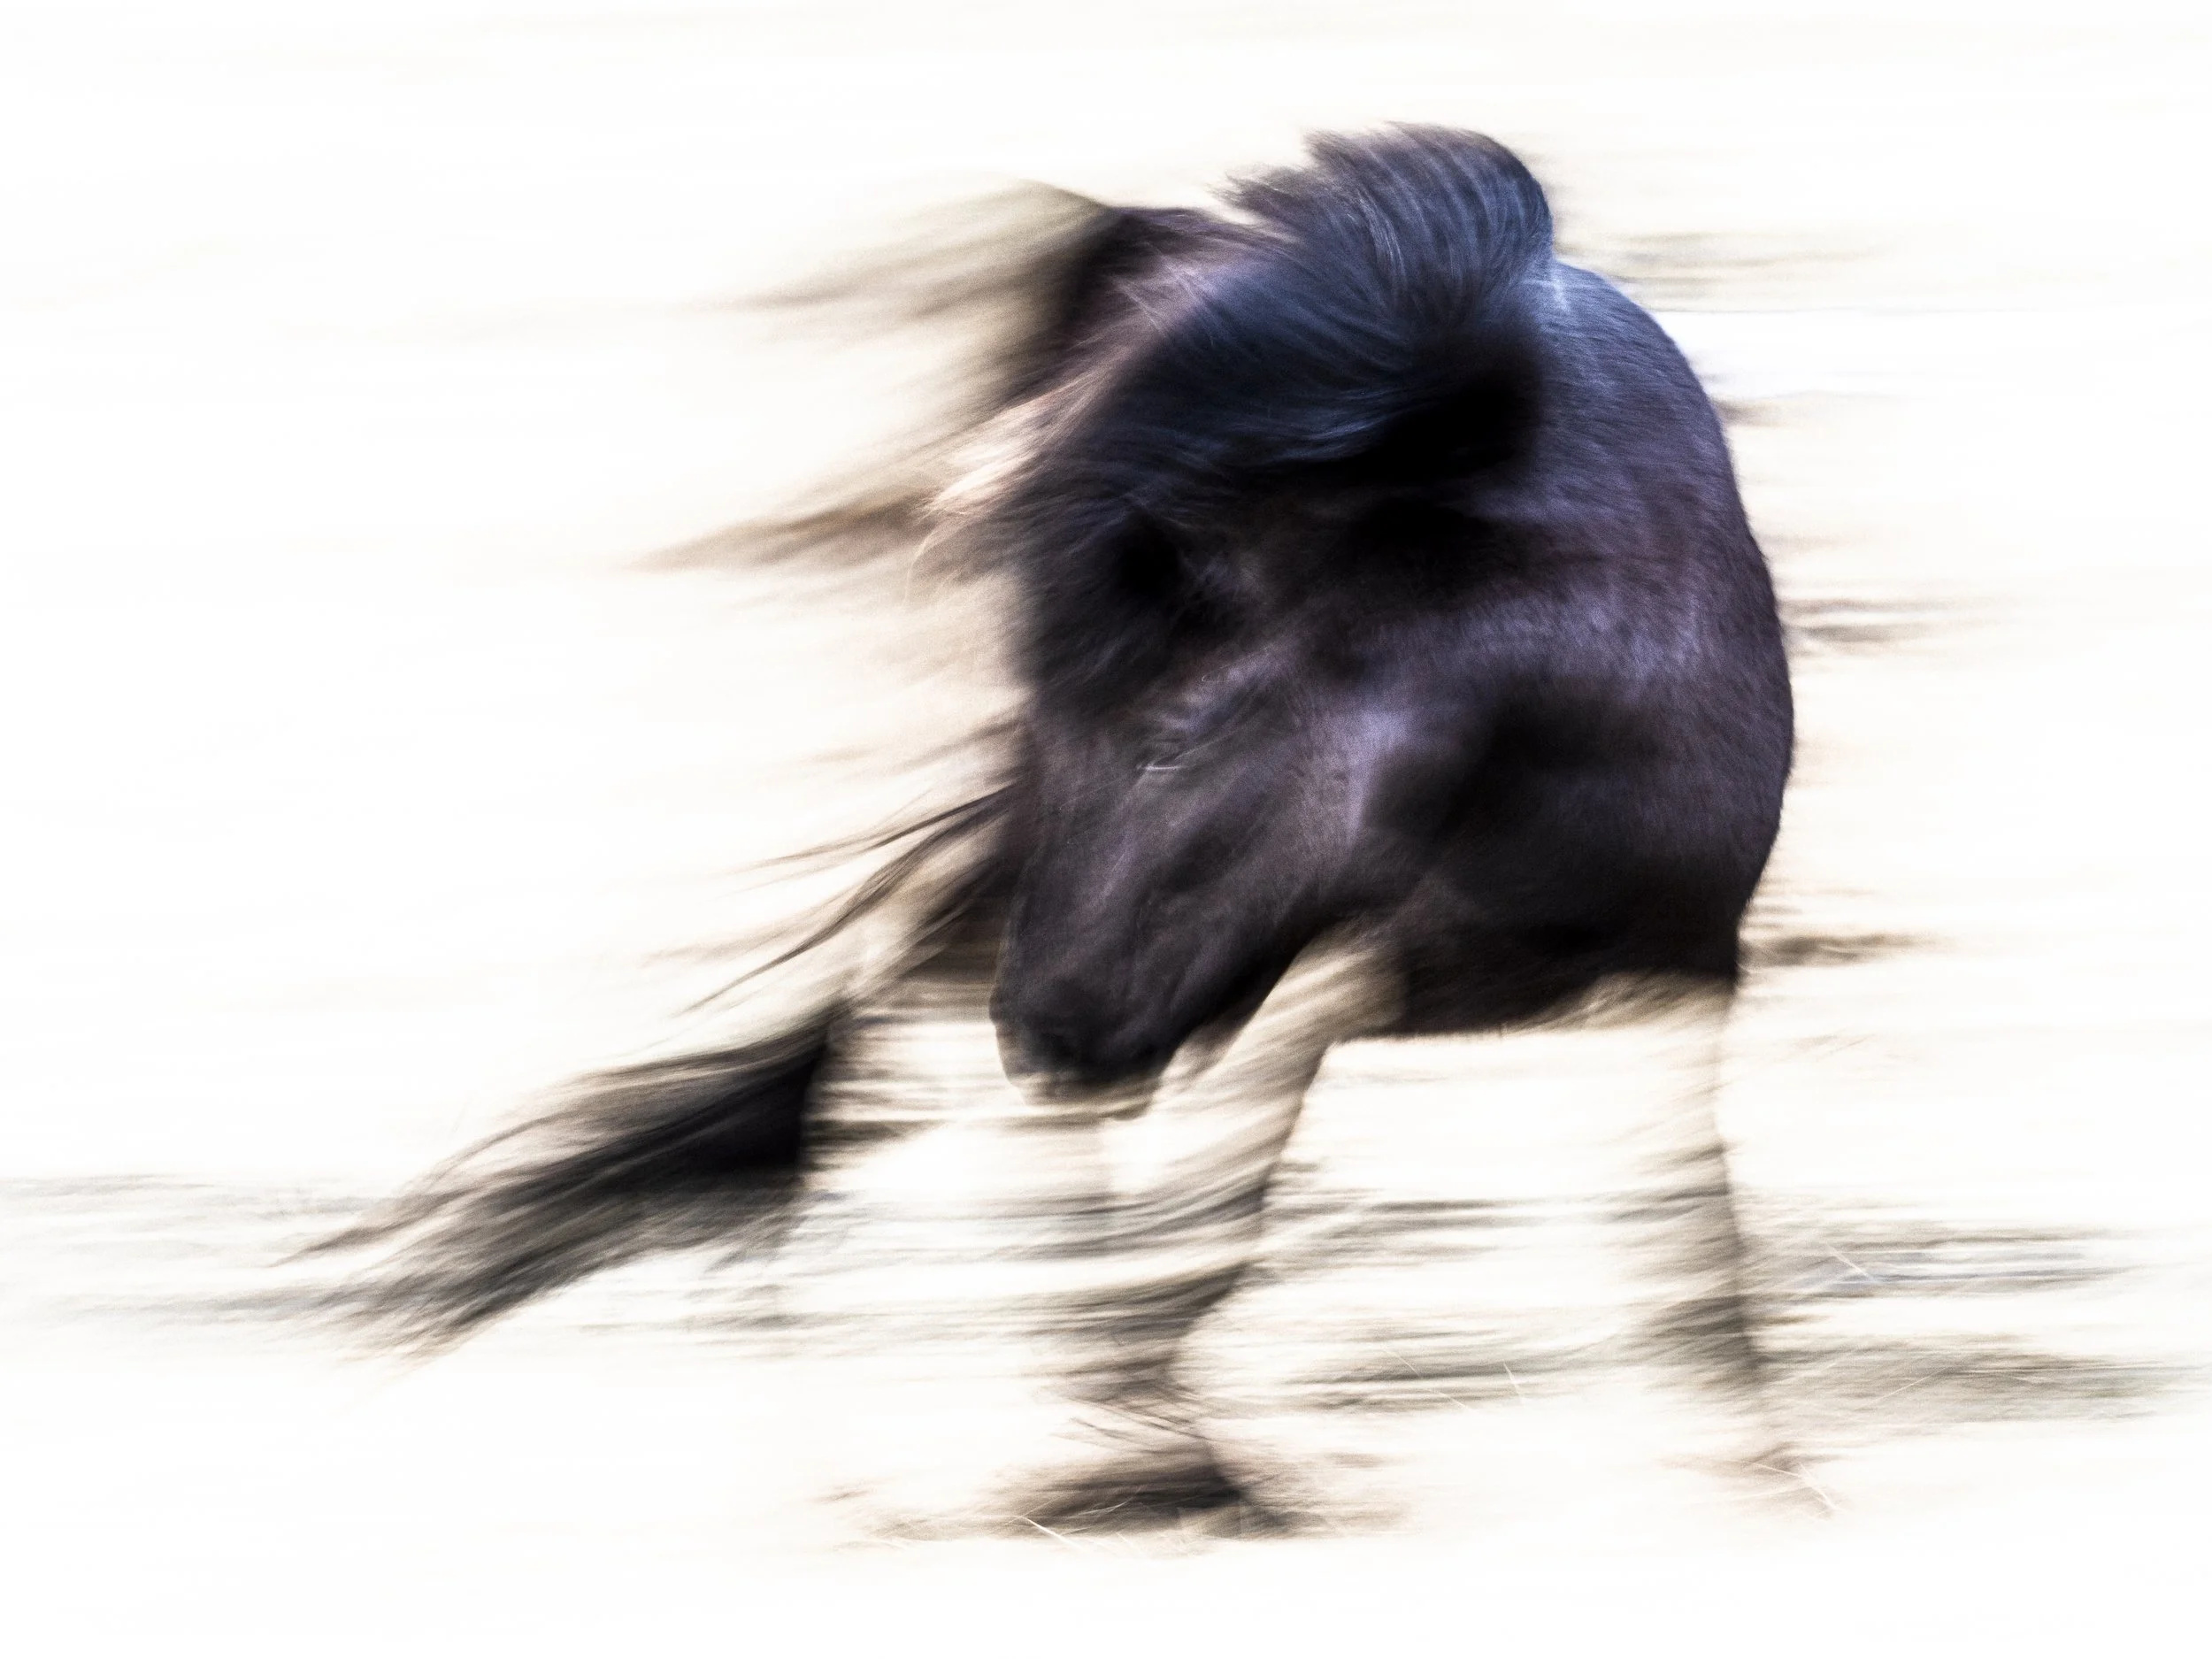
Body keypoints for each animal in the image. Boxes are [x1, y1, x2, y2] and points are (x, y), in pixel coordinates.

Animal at [324, 127, 1797, 1529]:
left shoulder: (1678, 962)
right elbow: (1205, 1234)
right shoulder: (1311, 962)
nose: (1045, 1033)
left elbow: (1696, 1254)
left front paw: (1766, 1474)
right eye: (1050, 715)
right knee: (884, 1076)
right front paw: (1148, 1451)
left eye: (1180, 732)